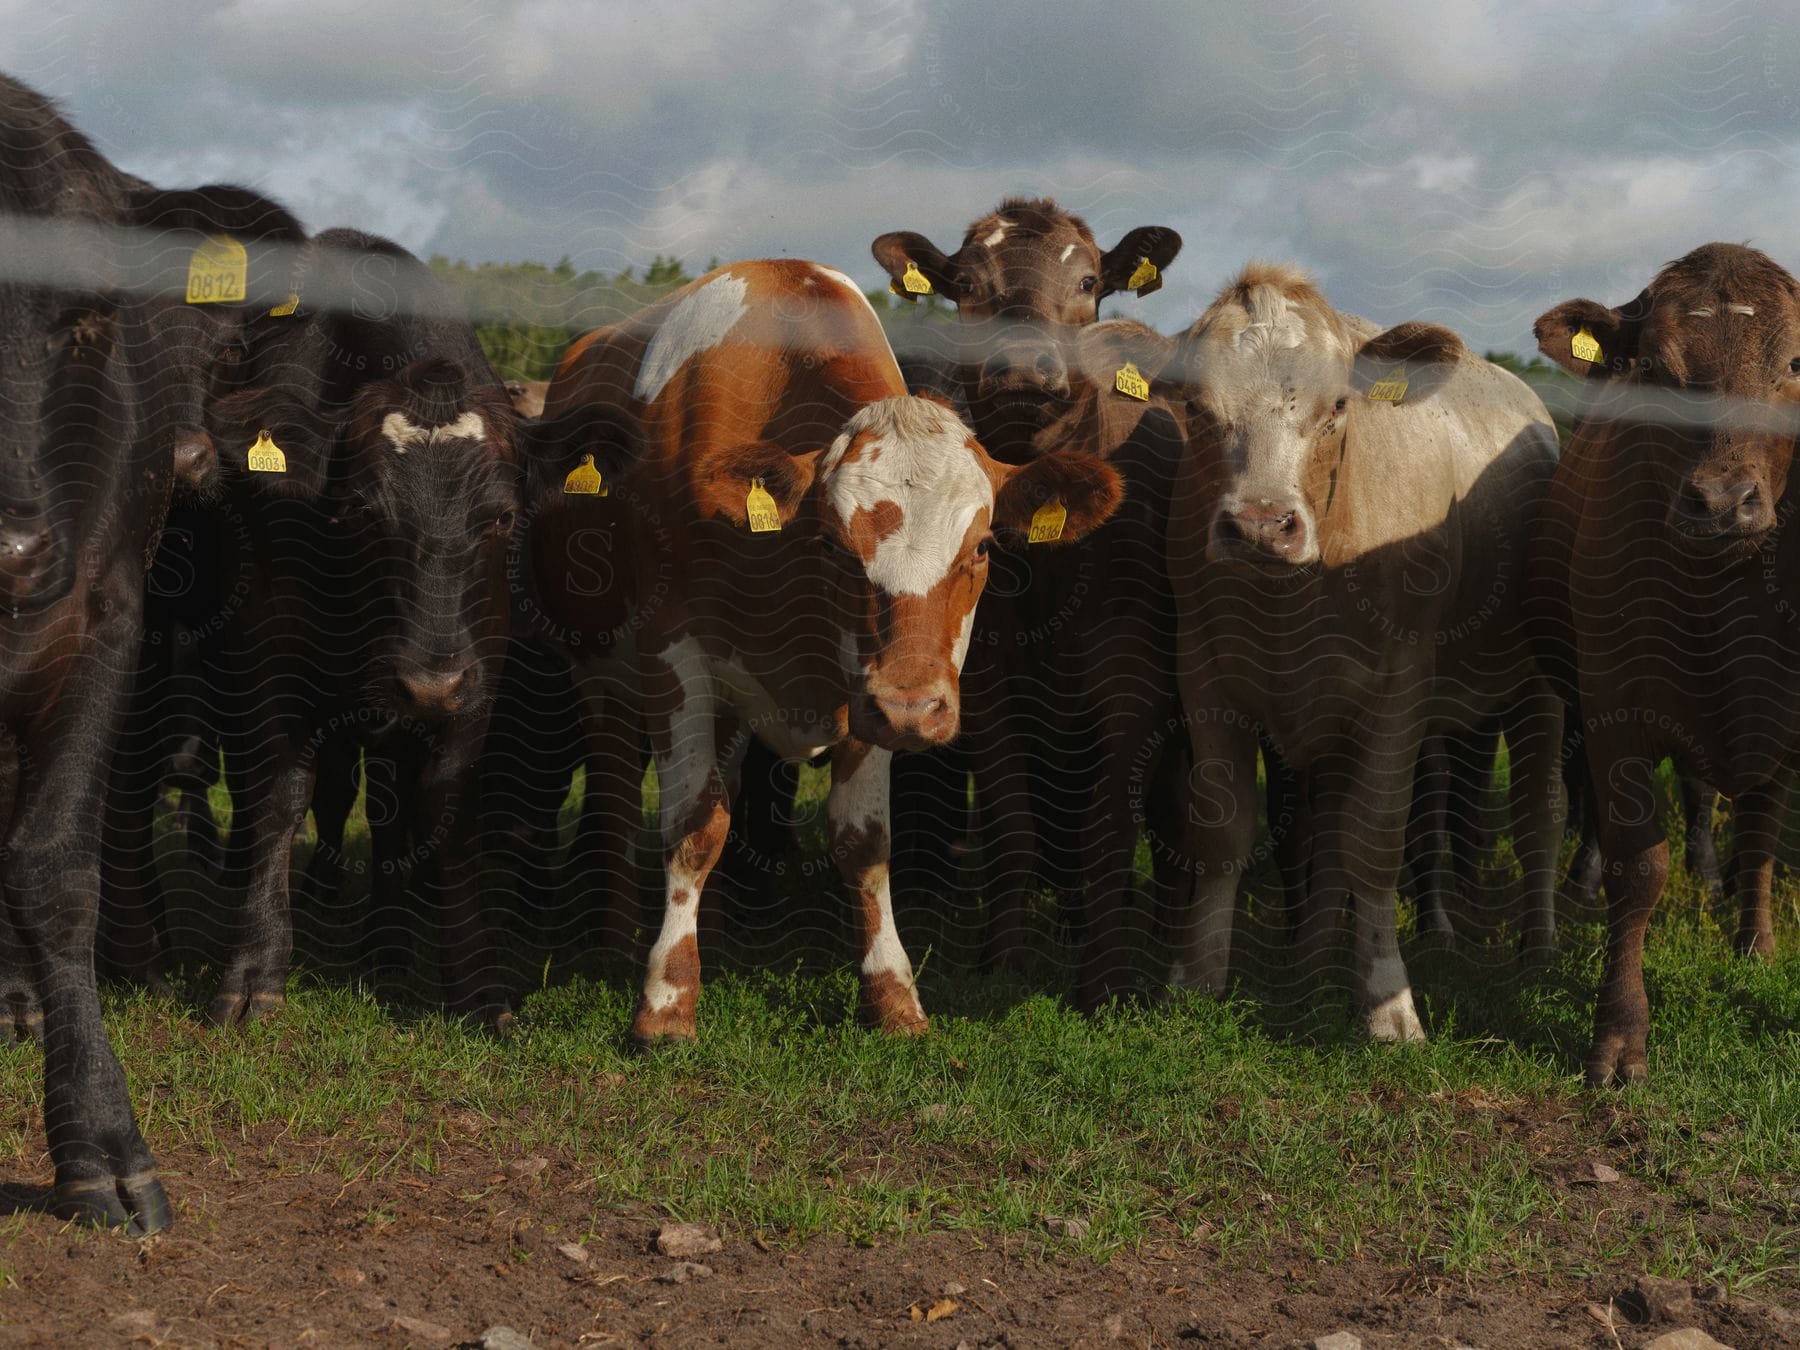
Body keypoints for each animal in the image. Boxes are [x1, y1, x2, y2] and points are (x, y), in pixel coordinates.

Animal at [522, 264, 1116, 1044]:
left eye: (984, 545)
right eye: (833, 545)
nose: (916, 706)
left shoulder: (863, 692)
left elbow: (861, 841)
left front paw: (892, 993)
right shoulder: (675, 658)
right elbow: (689, 825)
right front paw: (666, 998)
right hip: (598, 669)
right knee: (619, 787)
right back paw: (620, 936)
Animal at [1166, 266, 1562, 1044]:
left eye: (1339, 406)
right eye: (1195, 407)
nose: (1261, 525)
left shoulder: (1397, 691)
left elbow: (1373, 844)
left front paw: (1385, 1001)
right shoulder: (1206, 676)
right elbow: (1223, 831)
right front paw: (1196, 980)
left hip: (1538, 690)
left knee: (1537, 817)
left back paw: (1538, 947)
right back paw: (1314, 957)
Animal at [1533, 243, 1800, 1087]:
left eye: (1795, 362)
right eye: (1652, 366)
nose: (1721, 501)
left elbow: (1762, 834)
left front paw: (1756, 948)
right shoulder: (1618, 706)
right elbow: (1639, 867)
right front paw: (1619, 1035)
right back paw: (1580, 884)